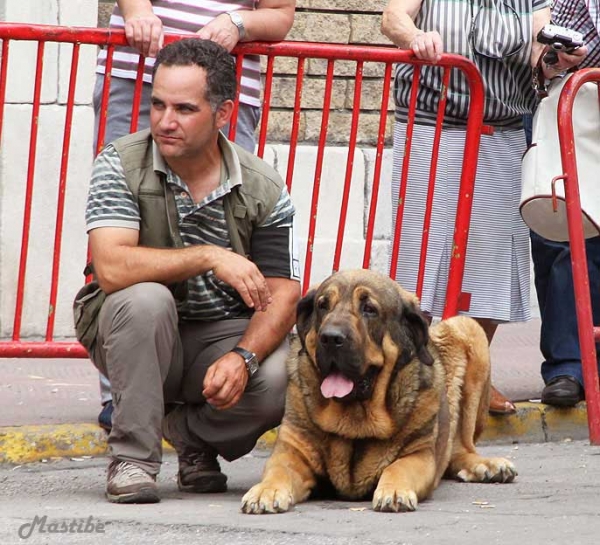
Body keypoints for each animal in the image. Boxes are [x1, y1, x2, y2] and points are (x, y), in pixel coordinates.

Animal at [241, 270, 516, 512]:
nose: (330, 338)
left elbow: (398, 468)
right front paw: (266, 491)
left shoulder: (419, 455)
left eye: (369, 309)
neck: (354, 420)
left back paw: (486, 465)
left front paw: (394, 492)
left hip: (468, 330)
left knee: (461, 446)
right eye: (323, 305)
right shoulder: (291, 451)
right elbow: (279, 470)